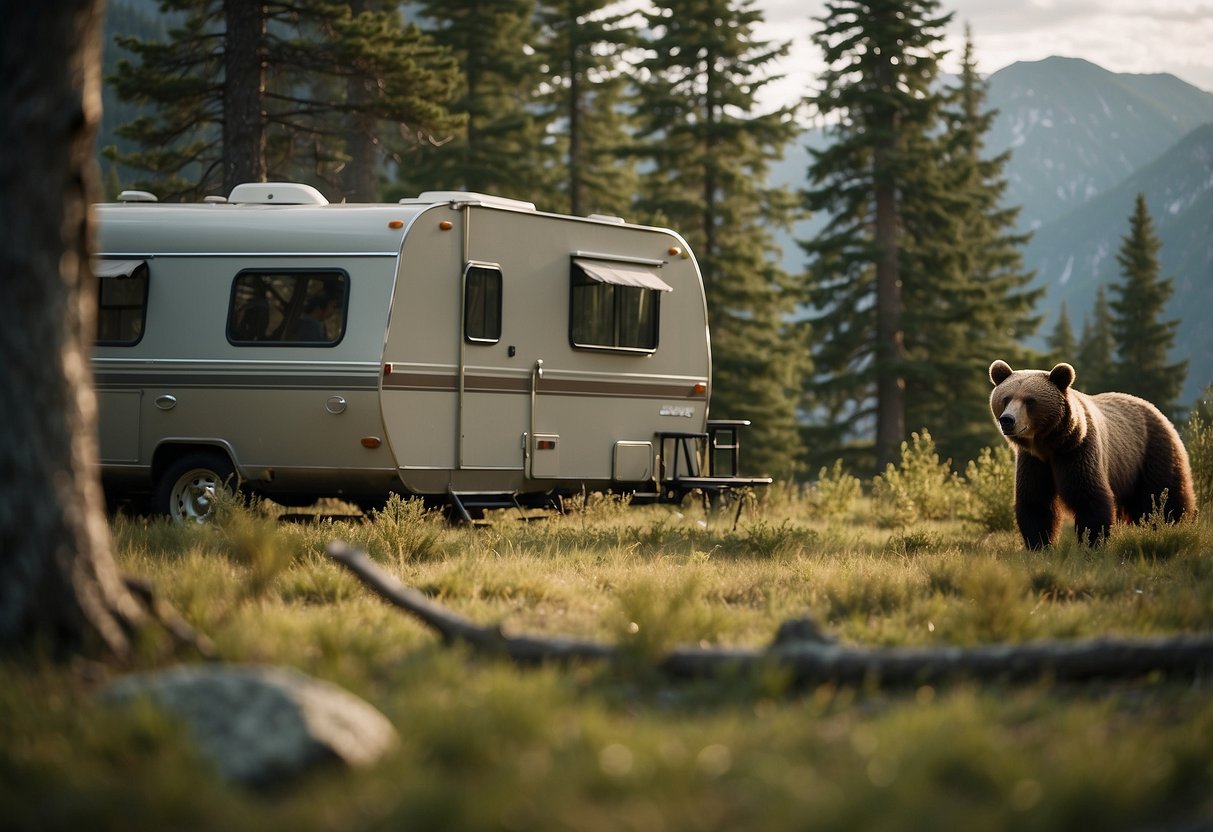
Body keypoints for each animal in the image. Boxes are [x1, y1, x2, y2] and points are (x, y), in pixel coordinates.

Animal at [989, 361, 1198, 550]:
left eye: (1030, 400)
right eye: (1006, 398)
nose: (1007, 420)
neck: (1049, 445)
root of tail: (1156, 410)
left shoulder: (1078, 452)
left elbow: (1089, 498)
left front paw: (1091, 544)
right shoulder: (1033, 462)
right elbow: (1035, 502)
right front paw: (1039, 545)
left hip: (1152, 452)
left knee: (1164, 495)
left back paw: (1171, 526)